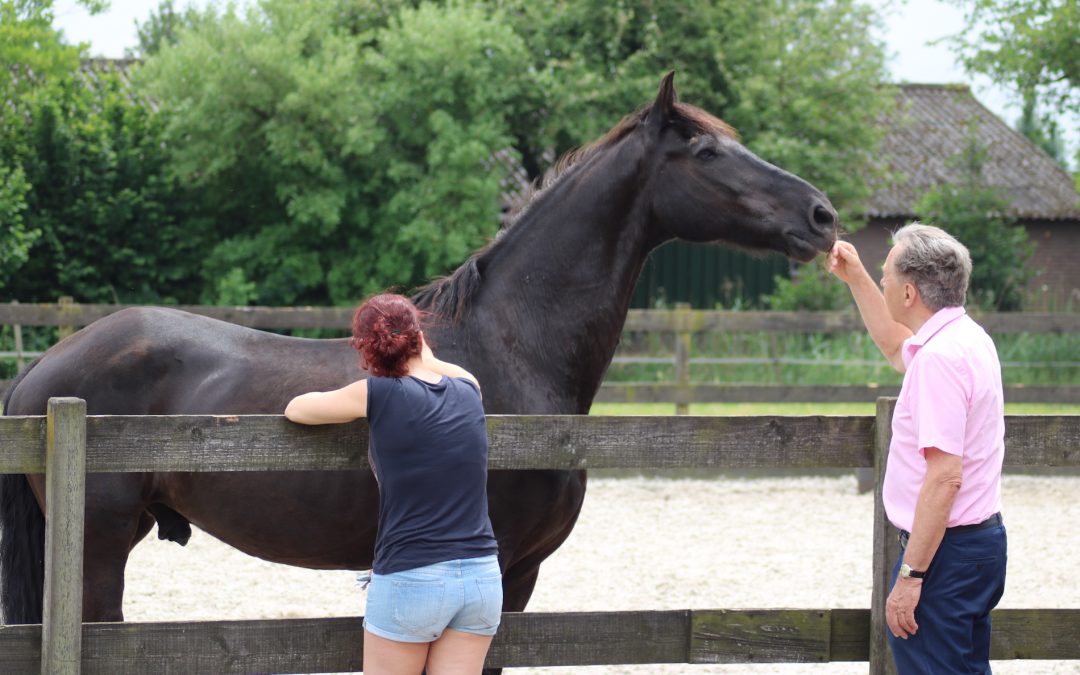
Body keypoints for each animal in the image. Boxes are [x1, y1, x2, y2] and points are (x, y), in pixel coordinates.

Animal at [0, 73, 833, 643]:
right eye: (708, 150)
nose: (821, 214)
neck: (512, 347)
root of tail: (44, 368)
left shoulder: (522, 572)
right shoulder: (502, 571)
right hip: (100, 549)